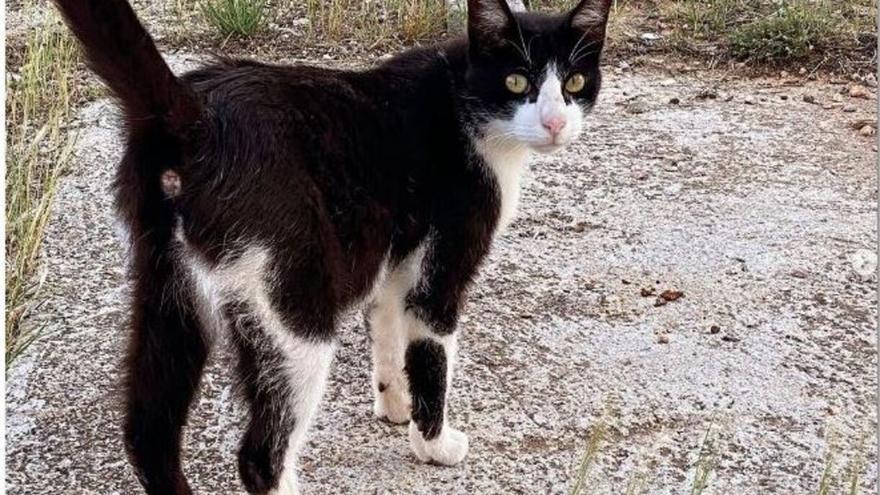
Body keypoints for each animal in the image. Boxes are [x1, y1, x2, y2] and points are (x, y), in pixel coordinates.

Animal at [55, 0, 612, 494]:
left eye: (574, 83)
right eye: (517, 81)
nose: (556, 124)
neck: (462, 100)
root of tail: (193, 117)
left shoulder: (395, 264)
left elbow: (388, 334)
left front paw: (396, 405)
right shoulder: (442, 267)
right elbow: (432, 359)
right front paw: (433, 444)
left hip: (165, 293)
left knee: (149, 435)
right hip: (294, 308)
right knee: (261, 457)